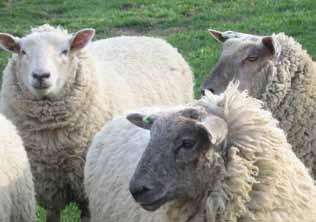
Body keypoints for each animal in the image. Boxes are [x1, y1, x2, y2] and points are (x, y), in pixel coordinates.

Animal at [0, 23, 193, 221]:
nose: (41, 76)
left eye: (64, 51)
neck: (54, 138)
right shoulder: (50, 186)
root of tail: (152, 39)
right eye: (22, 51)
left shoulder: (86, 188)